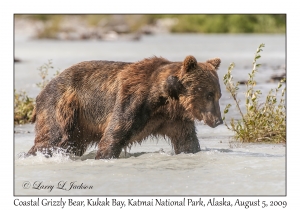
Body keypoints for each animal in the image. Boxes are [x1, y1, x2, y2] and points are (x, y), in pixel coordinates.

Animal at [27, 55, 221, 159]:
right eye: (209, 94)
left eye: (218, 94)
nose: (218, 120)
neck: (164, 100)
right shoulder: (133, 101)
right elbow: (114, 135)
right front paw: (104, 155)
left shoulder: (174, 119)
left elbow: (187, 142)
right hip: (62, 106)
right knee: (52, 138)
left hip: (79, 126)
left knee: (71, 144)